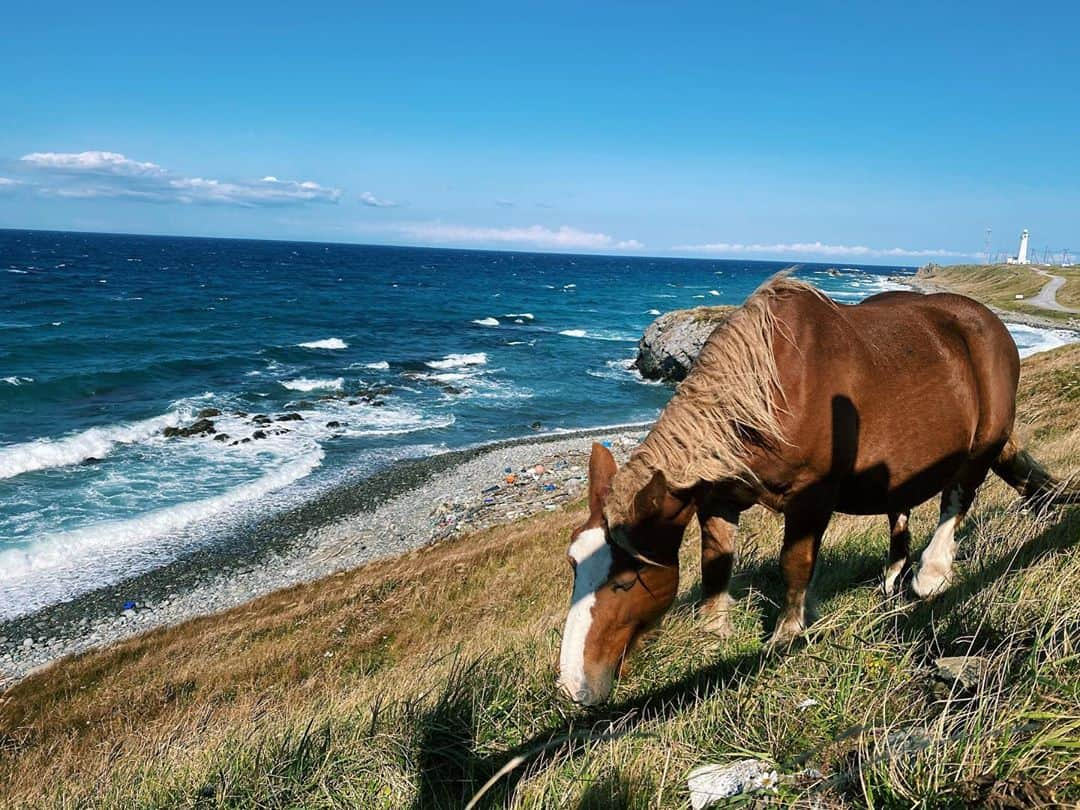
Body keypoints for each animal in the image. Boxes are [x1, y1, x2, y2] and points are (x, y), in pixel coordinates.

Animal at [561, 274, 1075, 704]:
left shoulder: (811, 498)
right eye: (574, 566)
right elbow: (715, 565)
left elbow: (795, 563)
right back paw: (892, 576)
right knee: (901, 511)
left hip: (983, 442)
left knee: (958, 497)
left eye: (626, 580)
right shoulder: (718, 497)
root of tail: (990, 323)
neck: (770, 393)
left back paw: (930, 575)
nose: (573, 685)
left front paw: (787, 633)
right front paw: (713, 632)